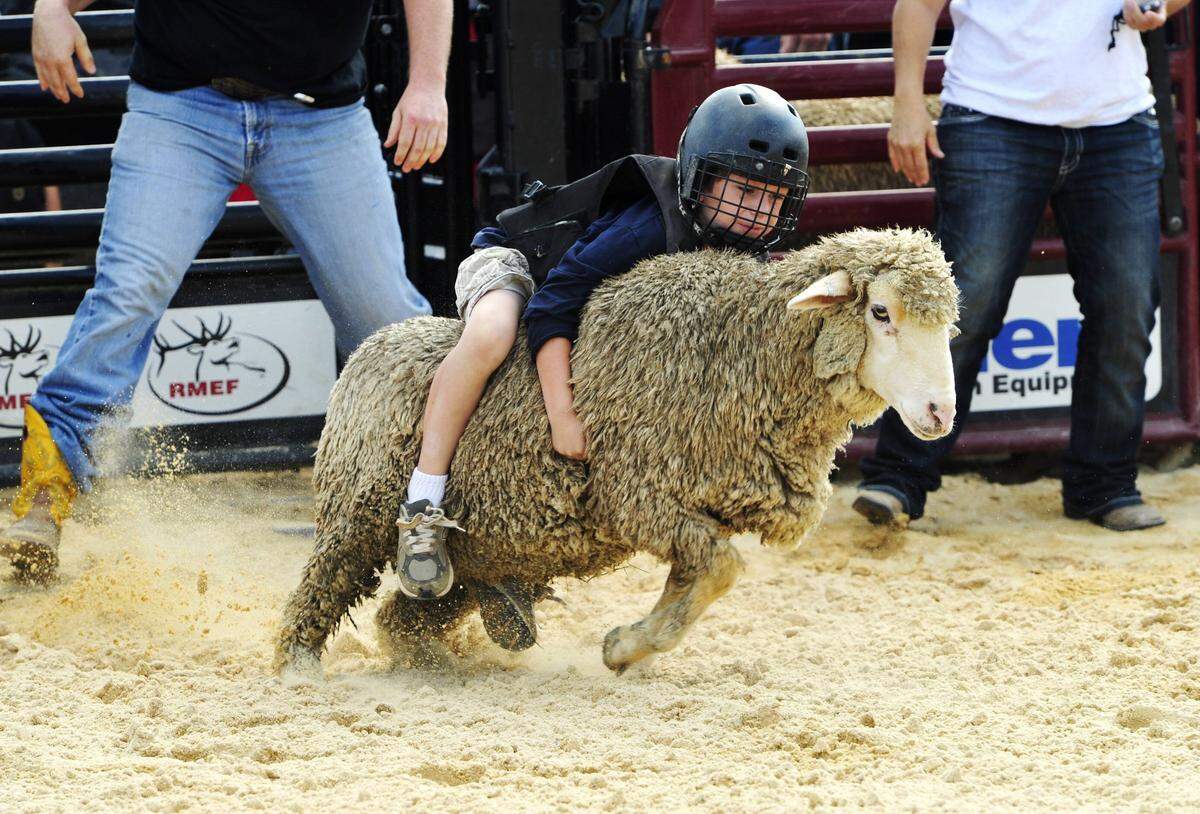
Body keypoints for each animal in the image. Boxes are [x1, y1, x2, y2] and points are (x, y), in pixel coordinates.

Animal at [276, 227, 959, 678]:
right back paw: (299, 666)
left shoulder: (691, 507)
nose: (941, 414)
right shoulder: (636, 494)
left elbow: (702, 577)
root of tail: (368, 347)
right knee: (321, 588)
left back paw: (442, 647)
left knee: (406, 614)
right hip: (358, 511)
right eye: (881, 312)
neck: (741, 350)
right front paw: (626, 646)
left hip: (490, 546)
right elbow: (722, 569)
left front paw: (631, 645)